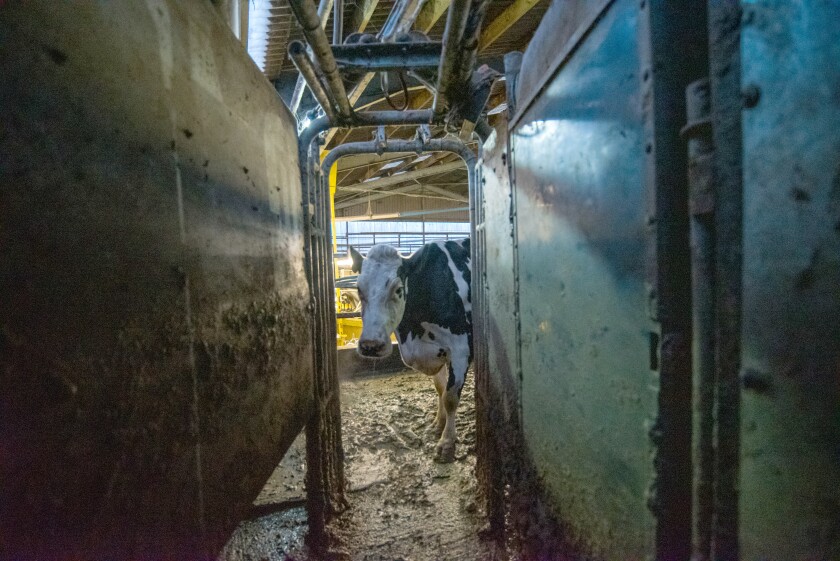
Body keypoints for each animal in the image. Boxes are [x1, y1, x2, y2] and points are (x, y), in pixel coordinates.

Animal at [348, 238, 472, 462]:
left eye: (398, 289)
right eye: (359, 289)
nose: (371, 345)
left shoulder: (461, 349)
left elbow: (450, 397)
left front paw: (447, 443)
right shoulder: (437, 351)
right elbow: (441, 389)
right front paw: (439, 423)